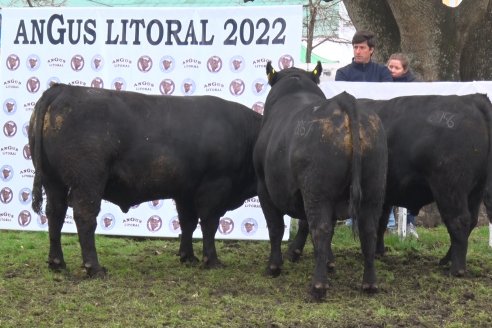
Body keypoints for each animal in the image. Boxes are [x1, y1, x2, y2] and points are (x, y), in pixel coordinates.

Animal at [28, 82, 264, 276]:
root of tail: (62, 89)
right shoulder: (215, 185)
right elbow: (209, 223)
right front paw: (212, 260)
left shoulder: (185, 190)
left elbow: (187, 222)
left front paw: (188, 257)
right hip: (88, 180)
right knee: (84, 217)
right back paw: (94, 268)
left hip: (53, 180)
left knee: (55, 213)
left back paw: (57, 263)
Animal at [254, 61, 388, 300]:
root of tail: (345, 101)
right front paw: (328, 262)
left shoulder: (264, 187)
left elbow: (276, 226)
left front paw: (274, 266)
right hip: (373, 187)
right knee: (368, 230)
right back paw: (369, 284)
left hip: (317, 189)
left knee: (321, 228)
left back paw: (318, 286)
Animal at [290, 93, 492, 278]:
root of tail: (472, 99)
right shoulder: (382, 196)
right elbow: (380, 221)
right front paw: (378, 251)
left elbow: (307, 221)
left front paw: (295, 251)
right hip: (476, 190)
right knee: (471, 221)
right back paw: (446, 260)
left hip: (450, 188)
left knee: (459, 221)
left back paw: (456, 268)